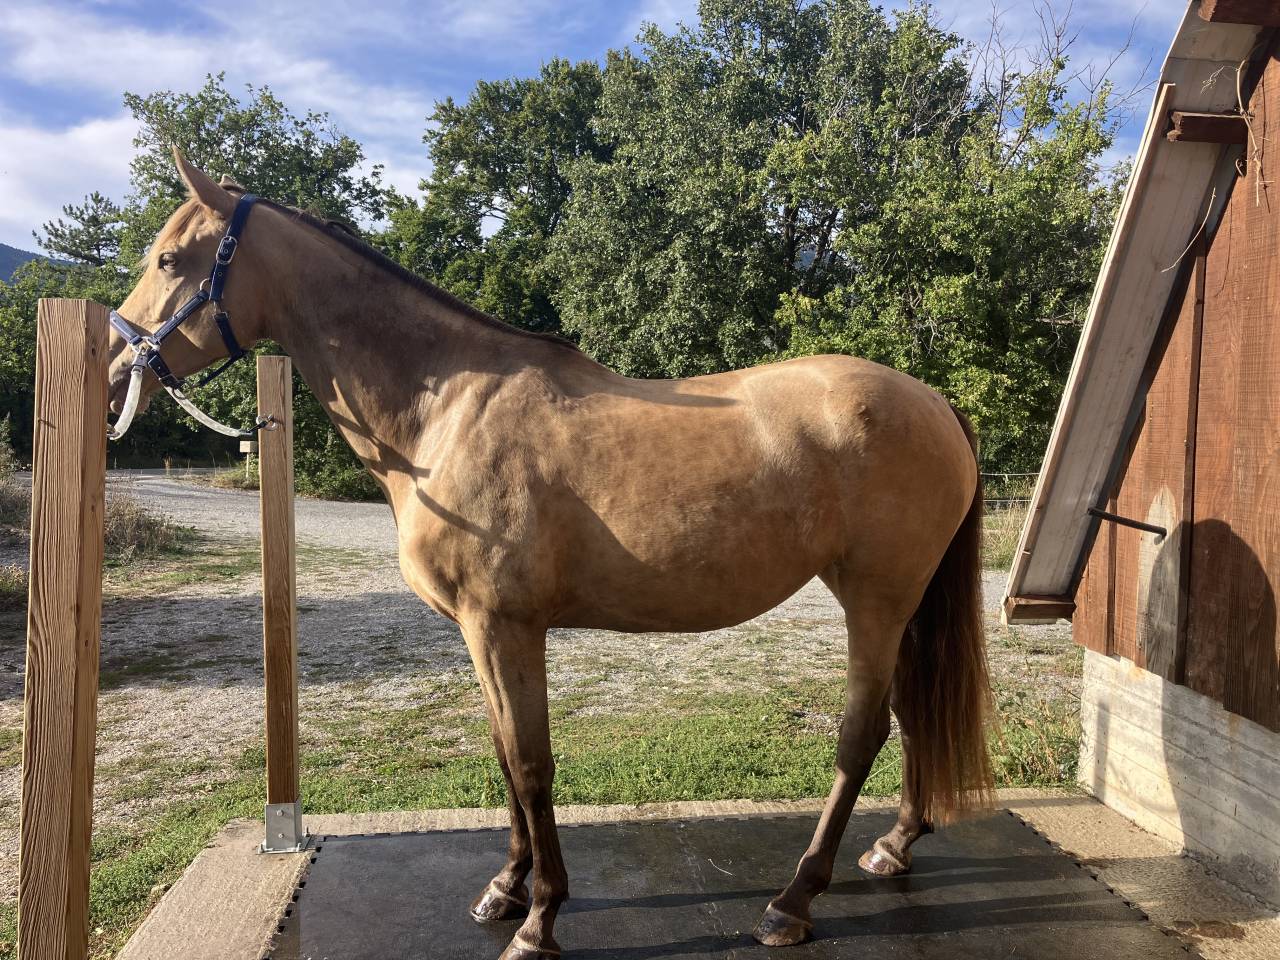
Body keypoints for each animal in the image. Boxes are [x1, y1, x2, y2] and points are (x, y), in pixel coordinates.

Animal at [106, 152, 993, 959]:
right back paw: (893, 846)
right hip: (894, 604)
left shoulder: (504, 626)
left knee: (861, 732)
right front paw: (506, 887)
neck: (446, 412)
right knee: (912, 713)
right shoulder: (481, 633)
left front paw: (539, 919)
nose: (116, 371)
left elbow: (532, 766)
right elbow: (505, 757)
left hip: (875, 598)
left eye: (169, 260)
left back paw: (793, 900)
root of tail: (934, 401)